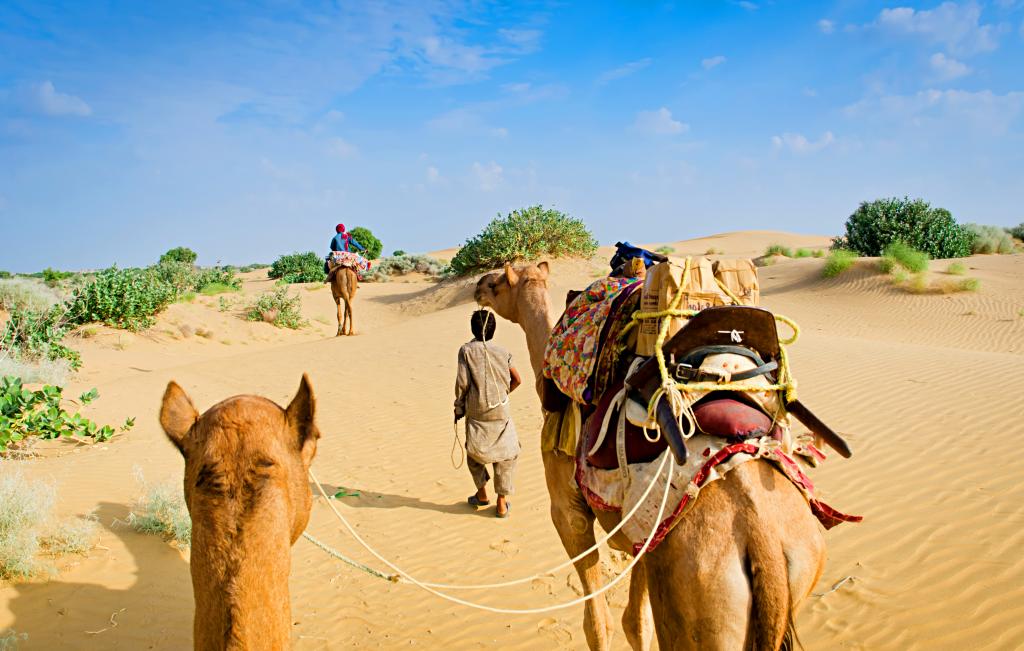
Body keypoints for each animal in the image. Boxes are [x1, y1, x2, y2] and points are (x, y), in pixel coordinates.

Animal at [475, 262, 827, 646]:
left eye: (496, 283)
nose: (477, 287)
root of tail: (766, 548)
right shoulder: (642, 537)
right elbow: (636, 622)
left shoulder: (568, 512)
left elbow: (600, 625)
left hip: (700, 604)